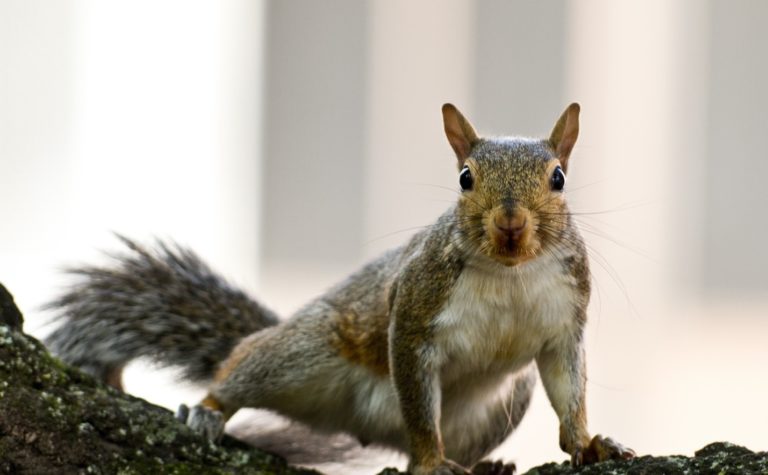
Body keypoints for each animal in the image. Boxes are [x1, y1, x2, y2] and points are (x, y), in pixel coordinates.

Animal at [46, 104, 636, 475]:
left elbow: (569, 390)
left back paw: (485, 466)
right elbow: (418, 401)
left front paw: (589, 444)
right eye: (464, 177)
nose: (510, 223)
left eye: (559, 178)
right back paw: (209, 410)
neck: (510, 271)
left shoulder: (564, 326)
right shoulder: (414, 315)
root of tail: (364, 426)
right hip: (300, 354)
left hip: (500, 406)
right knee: (242, 365)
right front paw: (431, 463)